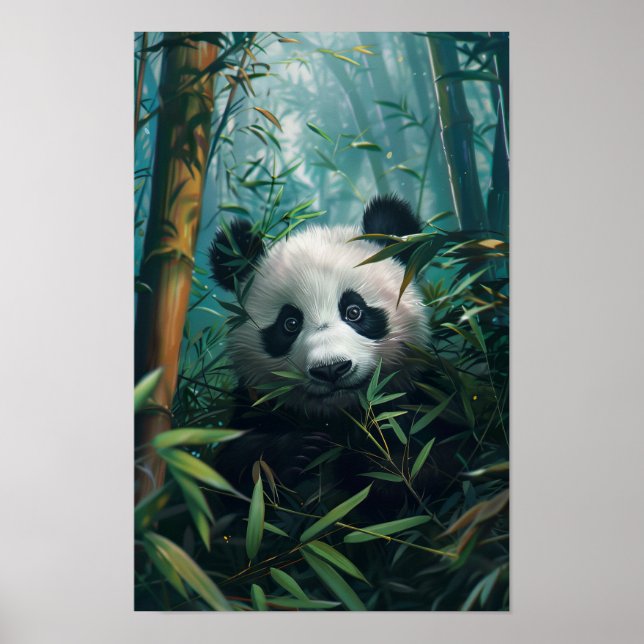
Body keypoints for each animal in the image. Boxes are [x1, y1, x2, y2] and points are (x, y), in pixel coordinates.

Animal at [208, 194, 440, 504]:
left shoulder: (423, 395)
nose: (331, 369)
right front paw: (297, 451)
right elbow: (231, 472)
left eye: (354, 311)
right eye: (290, 323)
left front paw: (377, 461)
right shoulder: (252, 405)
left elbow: (422, 460)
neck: (339, 414)